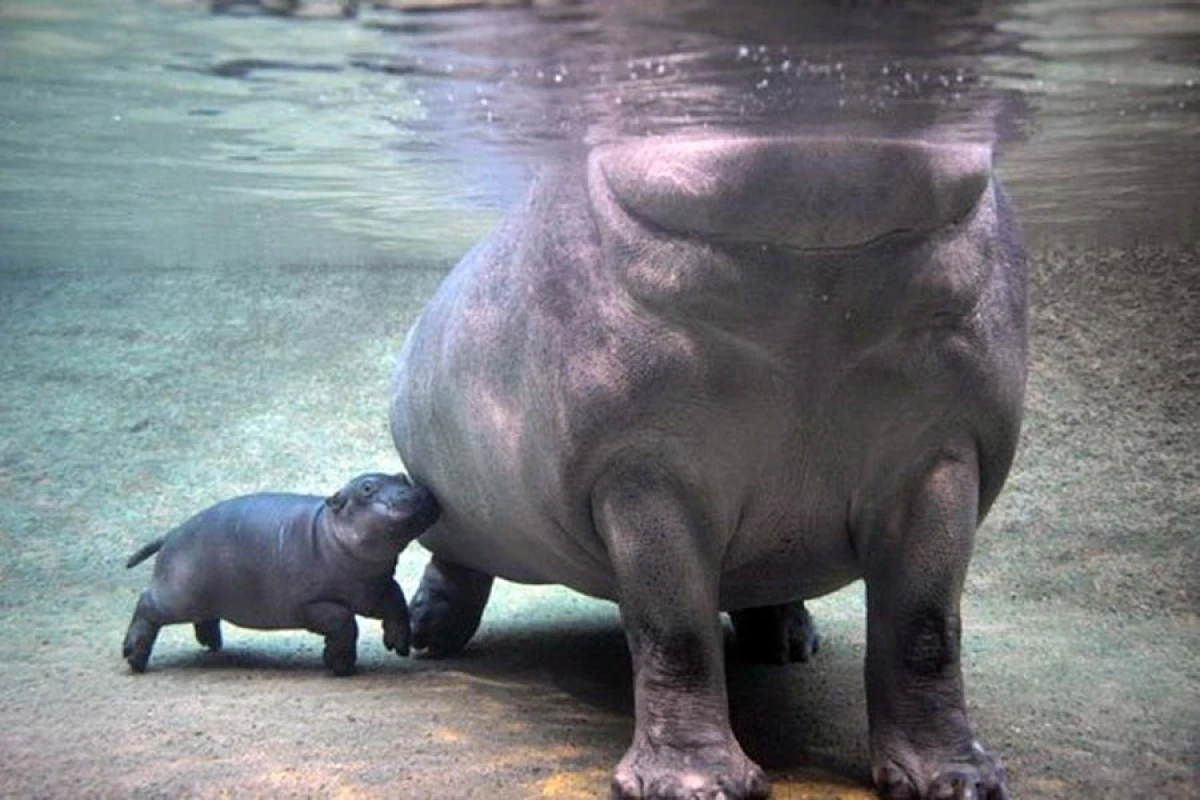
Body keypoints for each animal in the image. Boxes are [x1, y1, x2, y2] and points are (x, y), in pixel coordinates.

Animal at [122, 472, 440, 676]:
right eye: (367, 488)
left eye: (402, 477)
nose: (420, 491)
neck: (330, 533)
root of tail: (171, 533)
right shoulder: (311, 605)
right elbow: (344, 622)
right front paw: (341, 666)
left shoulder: (373, 589)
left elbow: (396, 598)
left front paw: (398, 643)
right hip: (175, 596)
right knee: (146, 605)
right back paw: (133, 658)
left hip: (202, 597)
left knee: (202, 617)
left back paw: (212, 644)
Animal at [390, 133, 1026, 798]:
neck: (813, 279)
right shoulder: (643, 467)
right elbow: (677, 634)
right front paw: (697, 785)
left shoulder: (940, 450)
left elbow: (924, 629)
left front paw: (960, 781)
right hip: (463, 511)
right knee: (456, 557)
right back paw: (429, 635)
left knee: (771, 583)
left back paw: (788, 644)